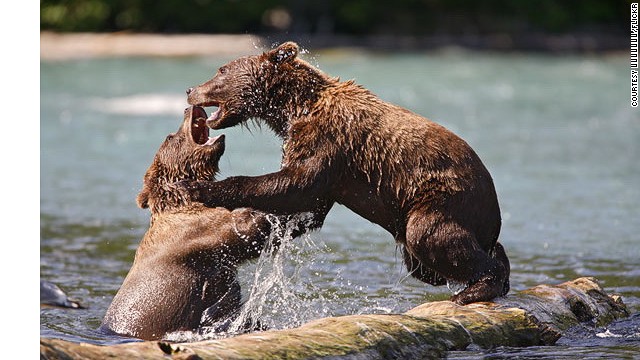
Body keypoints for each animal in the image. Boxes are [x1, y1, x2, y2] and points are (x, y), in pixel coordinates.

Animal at [180, 42, 510, 306]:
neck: (294, 108)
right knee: (428, 263)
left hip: (445, 196)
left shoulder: (327, 141)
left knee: (430, 236)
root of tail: (493, 201)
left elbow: (296, 184)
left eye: (221, 70)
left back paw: (475, 289)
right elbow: (306, 205)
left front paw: (198, 187)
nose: (190, 89)